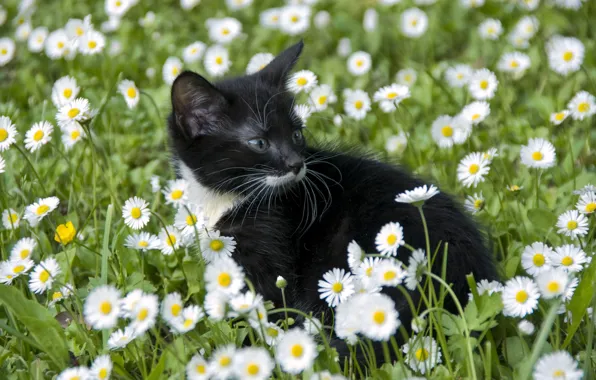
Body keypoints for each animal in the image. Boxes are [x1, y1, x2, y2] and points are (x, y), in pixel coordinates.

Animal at [168, 43, 498, 356]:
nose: (296, 164)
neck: (224, 198)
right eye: (259, 143)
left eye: (297, 135)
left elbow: (267, 302)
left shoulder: (270, 241)